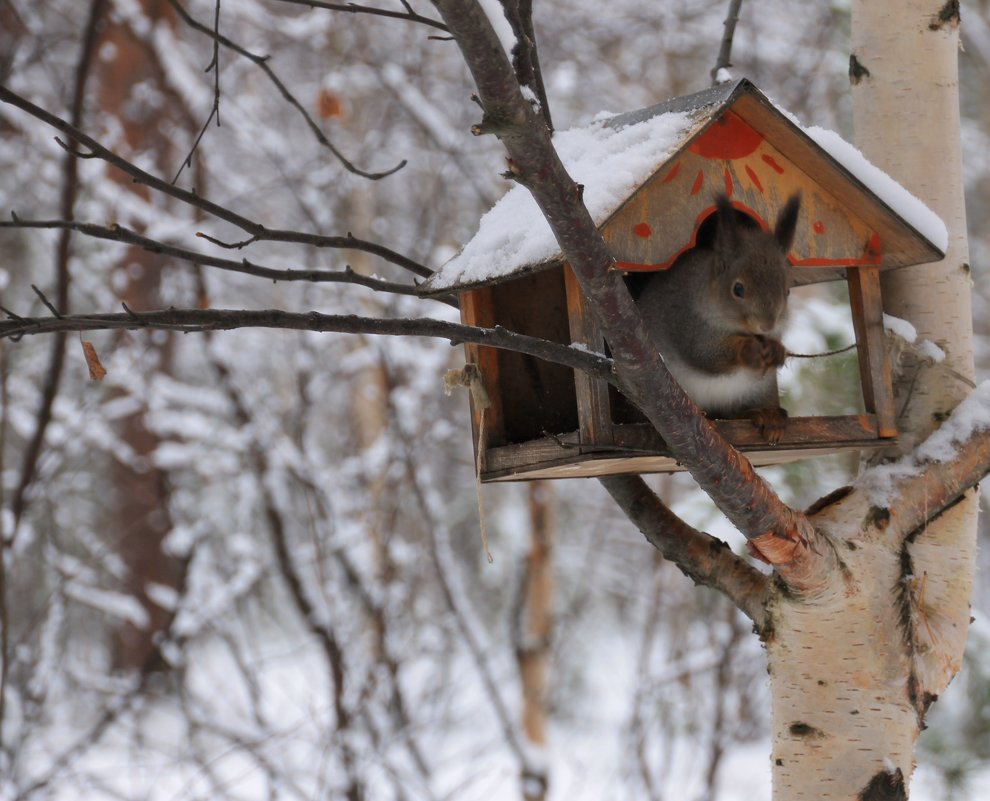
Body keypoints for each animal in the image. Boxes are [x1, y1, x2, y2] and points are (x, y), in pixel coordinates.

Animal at [636, 194, 808, 444]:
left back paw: (767, 416)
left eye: (787, 291)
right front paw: (748, 350)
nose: (767, 325)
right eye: (738, 289)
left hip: (761, 389)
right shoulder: (687, 322)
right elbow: (704, 354)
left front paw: (777, 350)